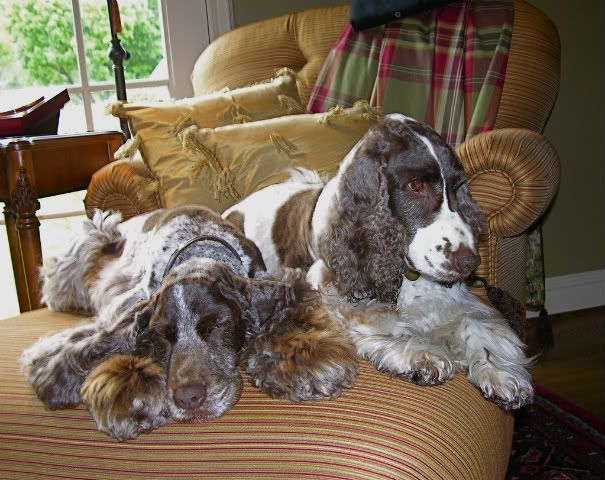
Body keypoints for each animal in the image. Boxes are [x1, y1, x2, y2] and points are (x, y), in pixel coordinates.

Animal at [21, 205, 356, 438]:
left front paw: (305, 359)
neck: (199, 245)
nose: (189, 398)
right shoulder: (130, 306)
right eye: (162, 336)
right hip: (89, 245)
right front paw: (130, 394)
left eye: (218, 325)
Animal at [223, 114, 532, 410]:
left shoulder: (451, 299)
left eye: (458, 187)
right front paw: (423, 354)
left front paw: (502, 374)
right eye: (416, 185)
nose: (470, 262)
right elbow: (381, 321)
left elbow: (475, 324)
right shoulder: (332, 294)